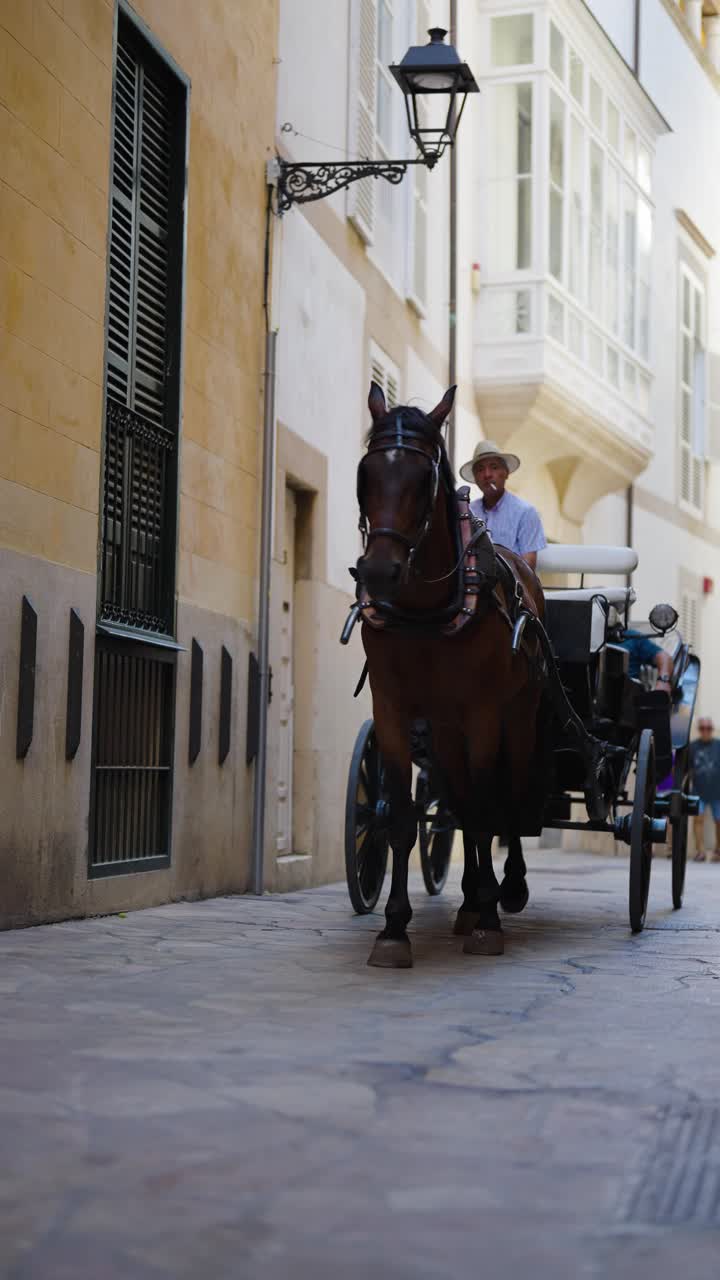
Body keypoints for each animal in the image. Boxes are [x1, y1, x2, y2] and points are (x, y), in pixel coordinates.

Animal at [354, 381, 546, 968]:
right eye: (366, 473)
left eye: (424, 479)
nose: (378, 571)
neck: (424, 608)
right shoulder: (393, 710)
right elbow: (402, 816)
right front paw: (394, 928)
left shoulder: (483, 712)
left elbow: (487, 811)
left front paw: (489, 921)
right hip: (443, 728)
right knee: (457, 800)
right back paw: (467, 900)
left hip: (517, 715)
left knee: (509, 795)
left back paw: (505, 890)